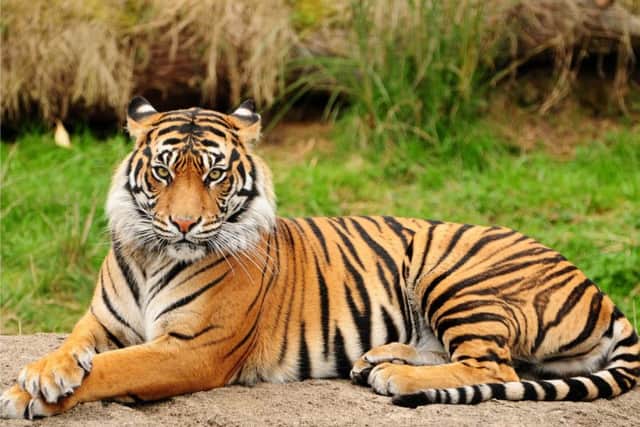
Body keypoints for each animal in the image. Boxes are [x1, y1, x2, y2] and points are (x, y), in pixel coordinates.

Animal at [1, 97, 638, 419]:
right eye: (163, 171)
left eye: (213, 174)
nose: (183, 224)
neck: (155, 254)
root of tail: (598, 289)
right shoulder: (102, 321)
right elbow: (74, 347)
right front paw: (42, 373)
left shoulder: (193, 348)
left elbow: (114, 369)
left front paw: (26, 395)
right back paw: (377, 359)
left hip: (456, 274)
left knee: (496, 368)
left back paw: (394, 374)